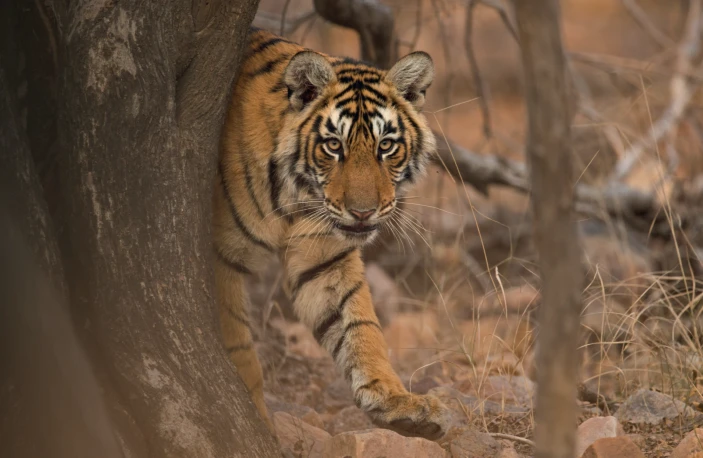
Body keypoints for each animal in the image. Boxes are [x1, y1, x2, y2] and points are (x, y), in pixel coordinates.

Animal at [213, 27, 448, 440]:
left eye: (386, 146)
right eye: (334, 146)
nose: (363, 212)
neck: (292, 195)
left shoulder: (325, 258)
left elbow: (361, 327)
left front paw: (397, 402)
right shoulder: (221, 256)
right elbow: (237, 341)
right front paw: (254, 420)